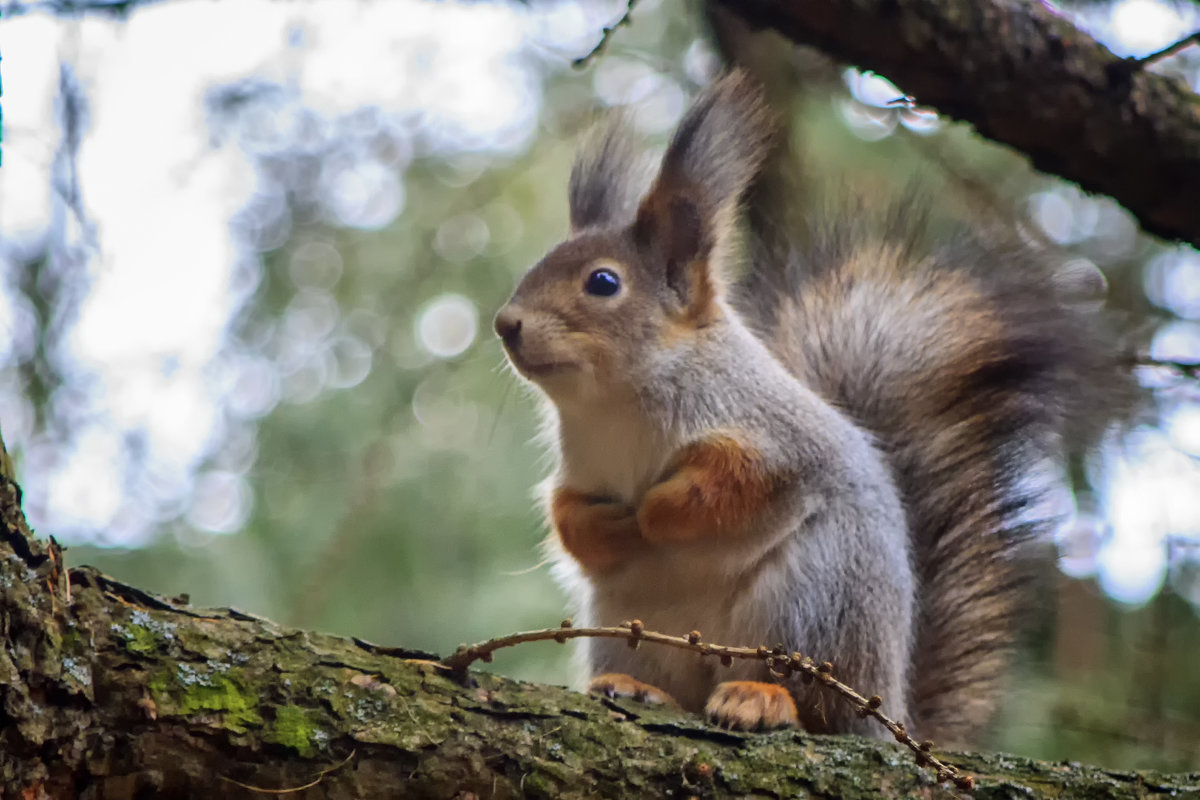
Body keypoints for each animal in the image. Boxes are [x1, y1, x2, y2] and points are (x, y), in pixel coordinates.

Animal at [492, 71, 1118, 748]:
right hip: (627, 624)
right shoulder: (580, 468)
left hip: (812, 602)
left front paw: (654, 514)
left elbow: (738, 485)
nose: (506, 324)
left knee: (817, 711)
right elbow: (566, 516)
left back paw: (762, 699)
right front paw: (607, 526)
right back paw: (635, 687)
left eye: (603, 283)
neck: (612, 401)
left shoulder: (776, 437)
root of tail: (890, 709)